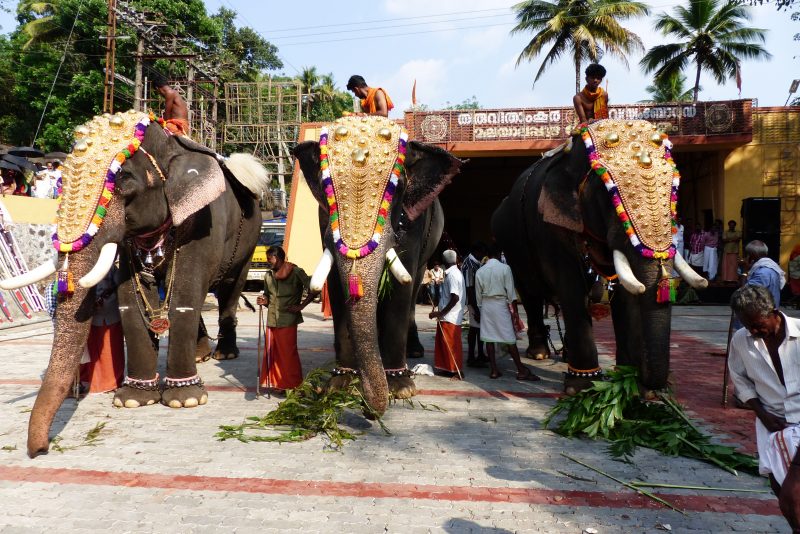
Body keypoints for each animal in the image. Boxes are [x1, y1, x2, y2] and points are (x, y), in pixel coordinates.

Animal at [0, 111, 268, 458]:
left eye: (125, 180)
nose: (40, 450)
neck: (168, 143)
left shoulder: (203, 221)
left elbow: (183, 296)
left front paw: (185, 400)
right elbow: (131, 300)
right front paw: (133, 400)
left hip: (248, 242)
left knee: (229, 291)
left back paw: (225, 354)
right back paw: (200, 355)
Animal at [292, 116, 462, 414]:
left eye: (399, 187)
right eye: (326, 187)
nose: (368, 409)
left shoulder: (412, 222)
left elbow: (400, 287)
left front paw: (400, 388)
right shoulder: (323, 219)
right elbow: (336, 286)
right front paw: (339, 384)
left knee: (413, 286)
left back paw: (412, 351)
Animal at [488, 119, 708, 396]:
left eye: (674, 189)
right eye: (609, 194)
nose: (661, 387)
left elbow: (625, 294)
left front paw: (628, 380)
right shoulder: (550, 228)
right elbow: (572, 290)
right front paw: (581, 388)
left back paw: (564, 354)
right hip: (513, 246)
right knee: (530, 293)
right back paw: (539, 354)